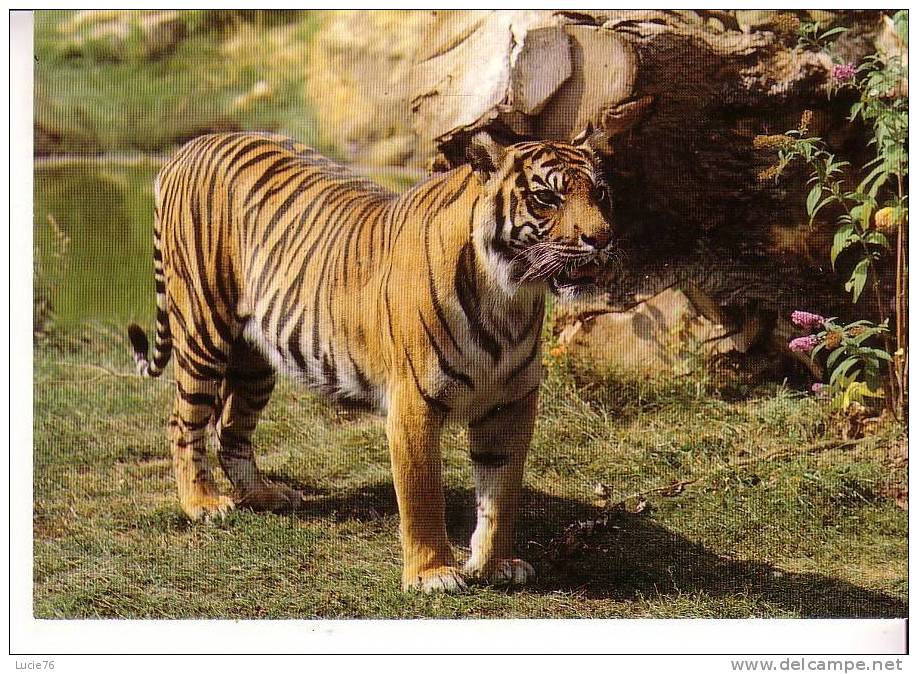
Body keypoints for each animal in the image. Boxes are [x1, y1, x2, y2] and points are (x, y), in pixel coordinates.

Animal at [129, 129, 620, 592]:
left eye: (600, 194)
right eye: (547, 198)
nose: (601, 239)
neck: (510, 295)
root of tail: (192, 144)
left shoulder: (511, 405)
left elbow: (501, 494)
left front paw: (496, 563)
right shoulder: (414, 405)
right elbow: (423, 496)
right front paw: (433, 574)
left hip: (256, 357)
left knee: (231, 426)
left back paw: (263, 495)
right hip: (203, 331)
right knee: (183, 423)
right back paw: (203, 504)